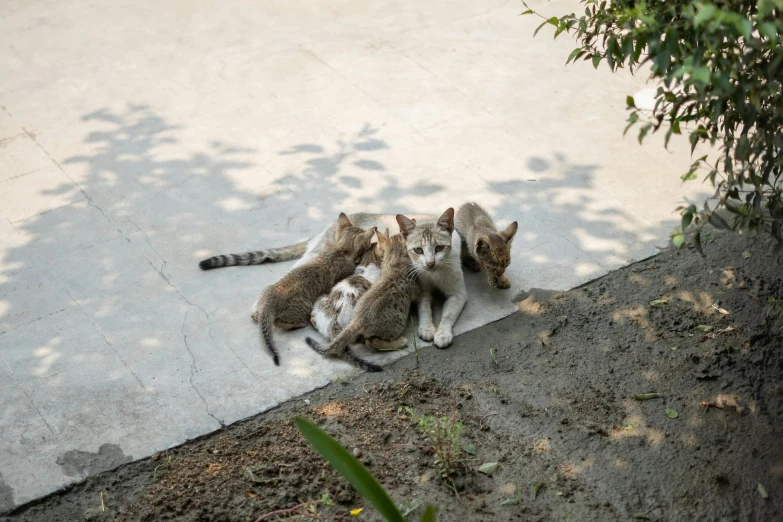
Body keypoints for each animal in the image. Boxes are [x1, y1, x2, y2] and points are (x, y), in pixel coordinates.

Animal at [304, 229, 420, 370]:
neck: (368, 264)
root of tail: (332, 320)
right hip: (393, 323)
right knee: (369, 341)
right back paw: (399, 342)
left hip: (322, 299)